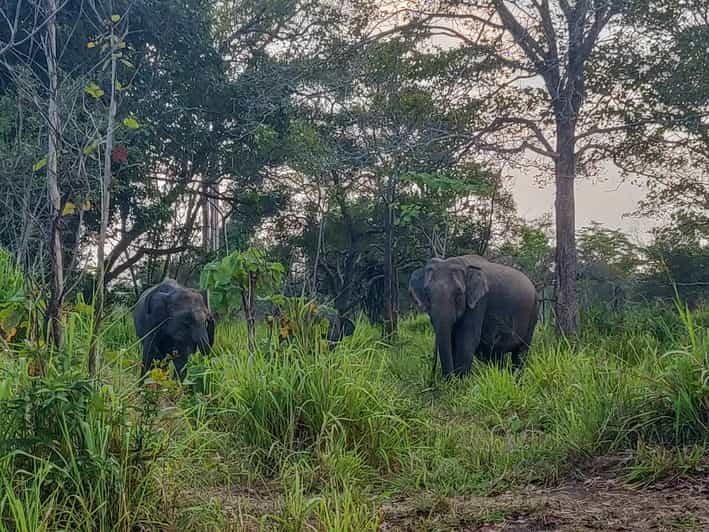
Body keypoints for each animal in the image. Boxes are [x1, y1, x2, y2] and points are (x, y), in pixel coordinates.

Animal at [406, 256, 540, 378]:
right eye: (427, 293)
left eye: (459, 292)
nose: (433, 378)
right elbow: (452, 341)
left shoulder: (478, 303)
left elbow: (467, 341)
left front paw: (459, 384)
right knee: (497, 356)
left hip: (533, 312)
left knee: (520, 353)